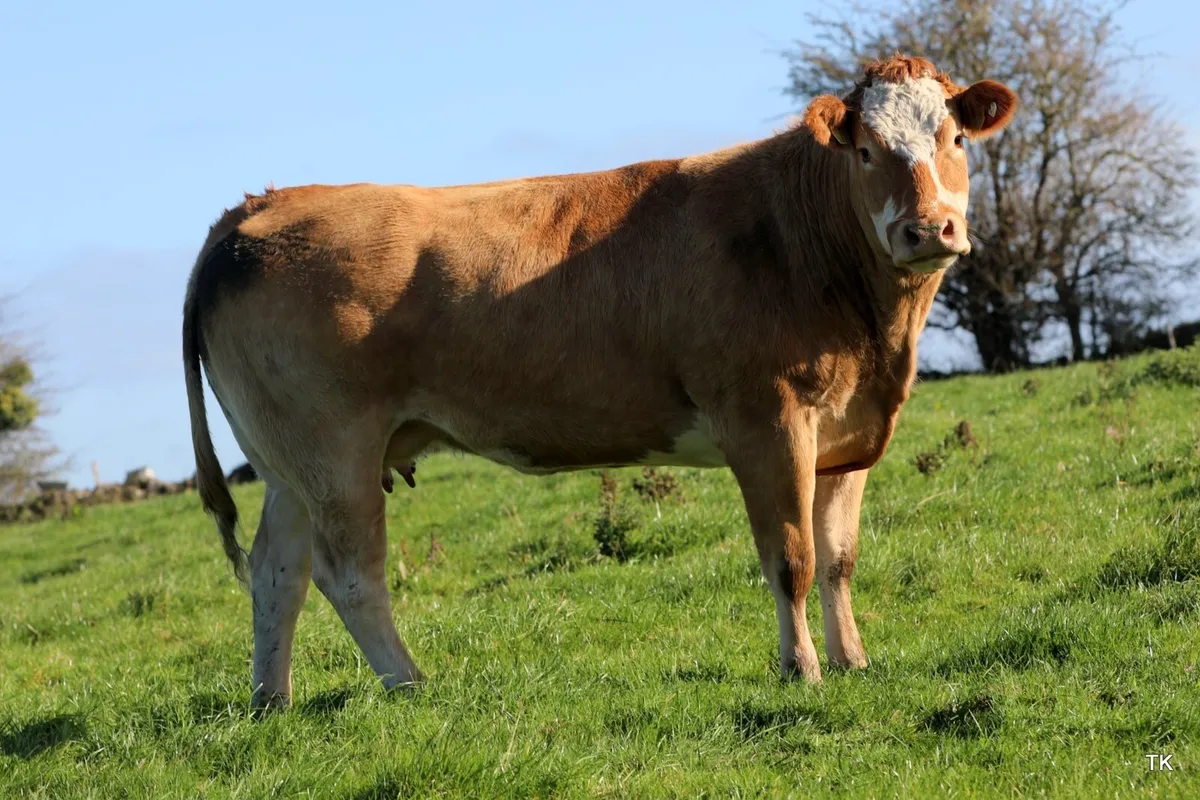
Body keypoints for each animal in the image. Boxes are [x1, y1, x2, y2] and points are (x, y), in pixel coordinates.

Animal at [183, 55, 1016, 709]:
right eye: (868, 151)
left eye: (954, 139)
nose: (928, 228)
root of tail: (261, 205)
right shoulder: (767, 420)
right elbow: (793, 558)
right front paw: (801, 670)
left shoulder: (845, 430)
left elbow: (839, 558)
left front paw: (853, 662)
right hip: (335, 451)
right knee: (348, 574)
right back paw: (410, 683)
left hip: (289, 464)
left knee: (277, 573)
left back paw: (271, 701)